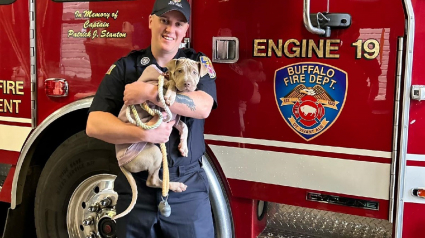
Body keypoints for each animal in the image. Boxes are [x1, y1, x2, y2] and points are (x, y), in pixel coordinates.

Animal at [112, 57, 205, 219]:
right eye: (179, 71)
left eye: (195, 72)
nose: (187, 84)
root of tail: (121, 163)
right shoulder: (156, 87)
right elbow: (170, 84)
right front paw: (169, 95)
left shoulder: (173, 119)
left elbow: (185, 128)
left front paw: (183, 147)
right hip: (155, 153)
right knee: (152, 181)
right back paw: (175, 185)